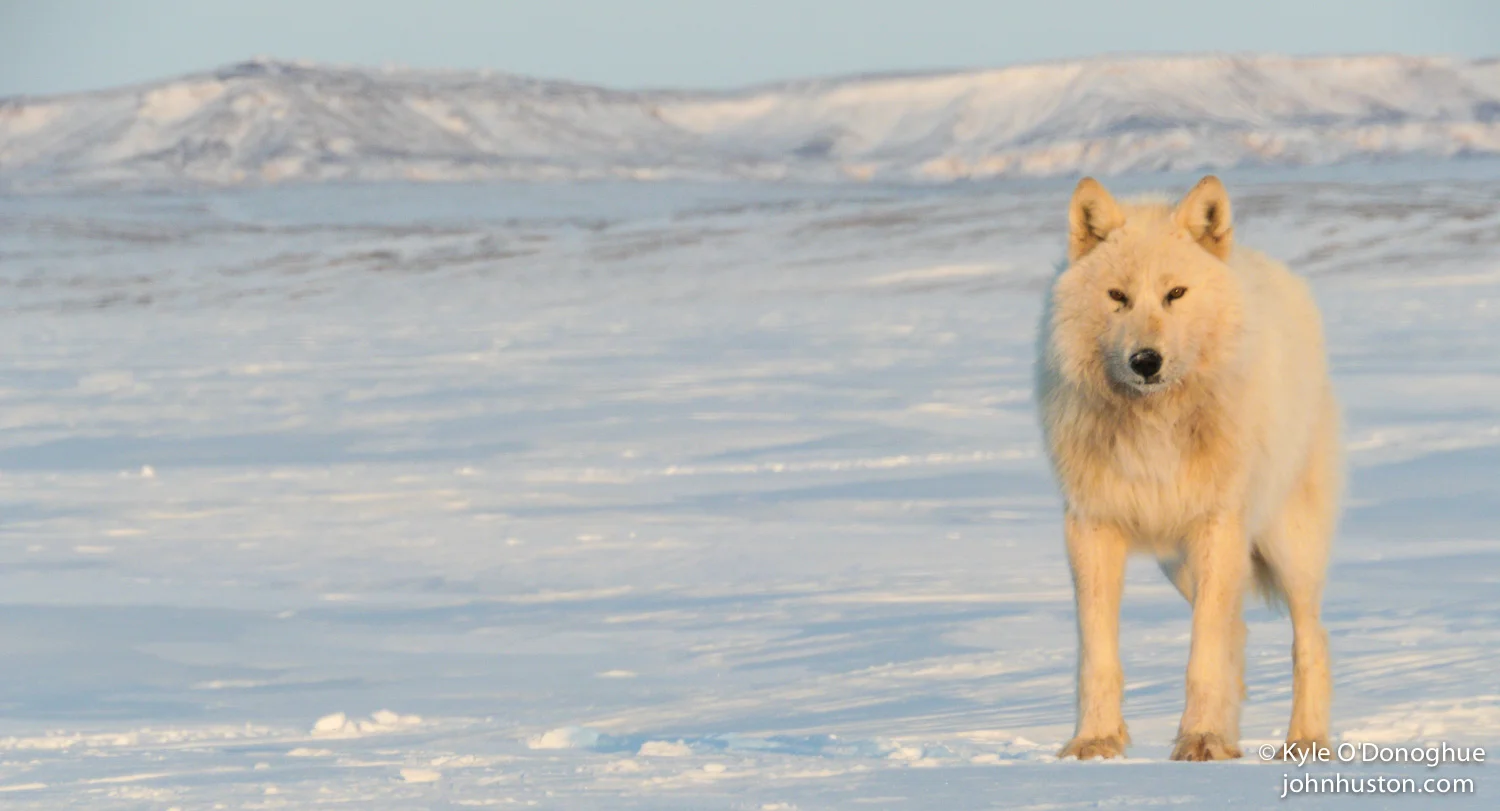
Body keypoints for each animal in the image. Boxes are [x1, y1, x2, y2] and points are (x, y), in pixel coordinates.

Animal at [1035, 176, 1342, 761]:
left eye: (1175, 294)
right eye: (1118, 297)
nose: (1145, 361)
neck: (1156, 426)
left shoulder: (1216, 526)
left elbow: (1204, 653)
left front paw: (1201, 739)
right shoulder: (1090, 528)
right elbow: (1097, 655)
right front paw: (1095, 741)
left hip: (1286, 546)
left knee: (1311, 638)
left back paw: (1305, 740)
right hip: (1177, 564)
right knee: (1239, 633)